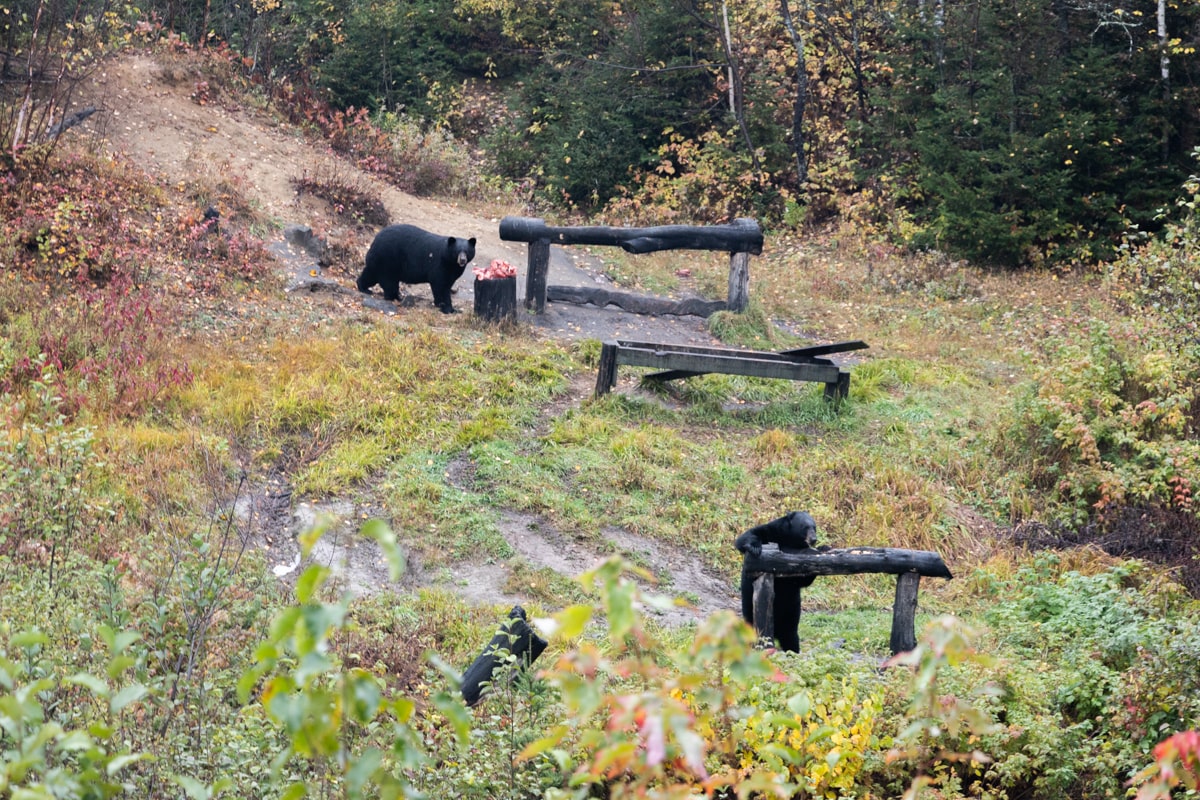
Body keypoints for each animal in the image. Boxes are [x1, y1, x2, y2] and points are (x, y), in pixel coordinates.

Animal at [734, 510, 820, 652]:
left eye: (814, 527)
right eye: (805, 527)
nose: (814, 539)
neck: (791, 540)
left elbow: (801, 579)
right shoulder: (772, 532)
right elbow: (747, 536)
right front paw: (755, 547)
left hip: (790, 613)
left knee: (791, 636)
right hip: (750, 610)